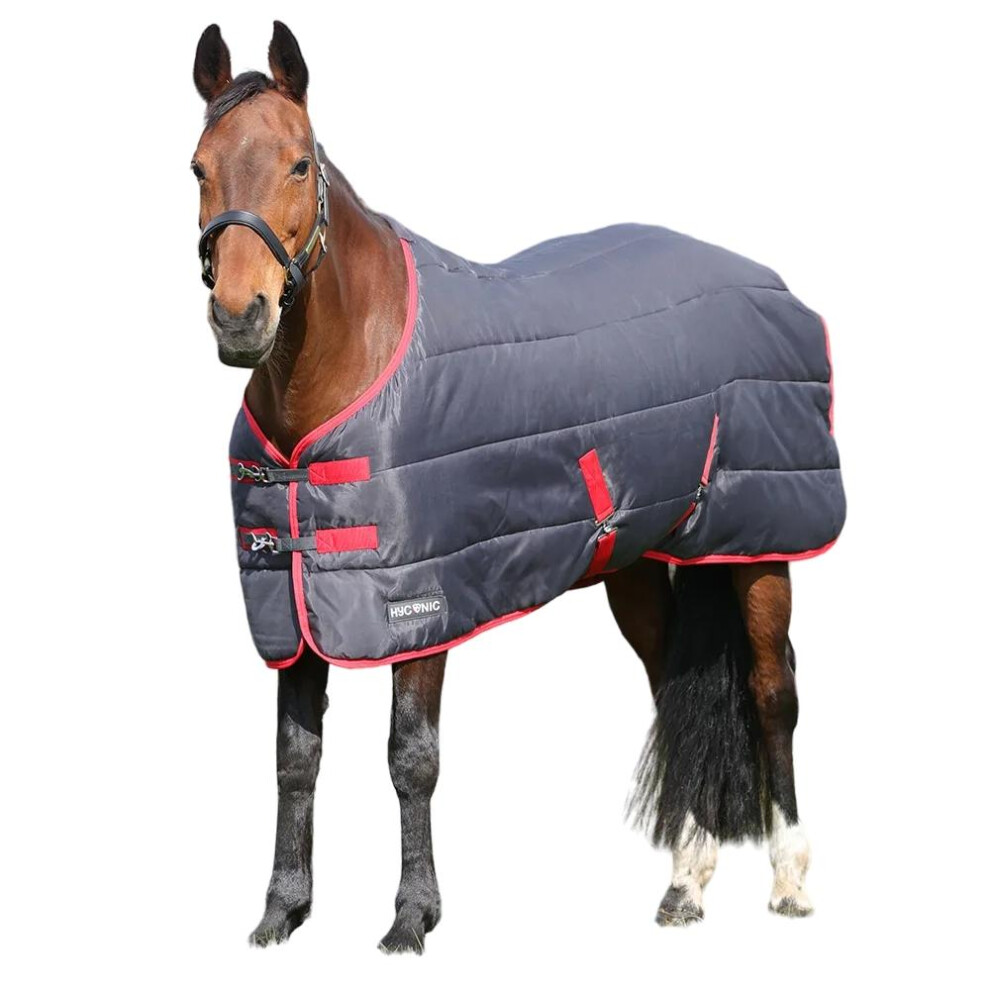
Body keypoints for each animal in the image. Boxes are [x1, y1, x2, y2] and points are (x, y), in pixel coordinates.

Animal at [192, 21, 825, 952]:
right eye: (198, 166)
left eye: (300, 162)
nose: (242, 317)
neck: (351, 373)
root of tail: (769, 282)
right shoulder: (295, 610)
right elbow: (294, 759)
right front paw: (282, 910)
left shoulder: (420, 608)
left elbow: (410, 758)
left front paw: (411, 917)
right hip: (640, 563)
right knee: (673, 690)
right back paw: (685, 882)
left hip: (762, 542)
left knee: (773, 691)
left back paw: (788, 878)